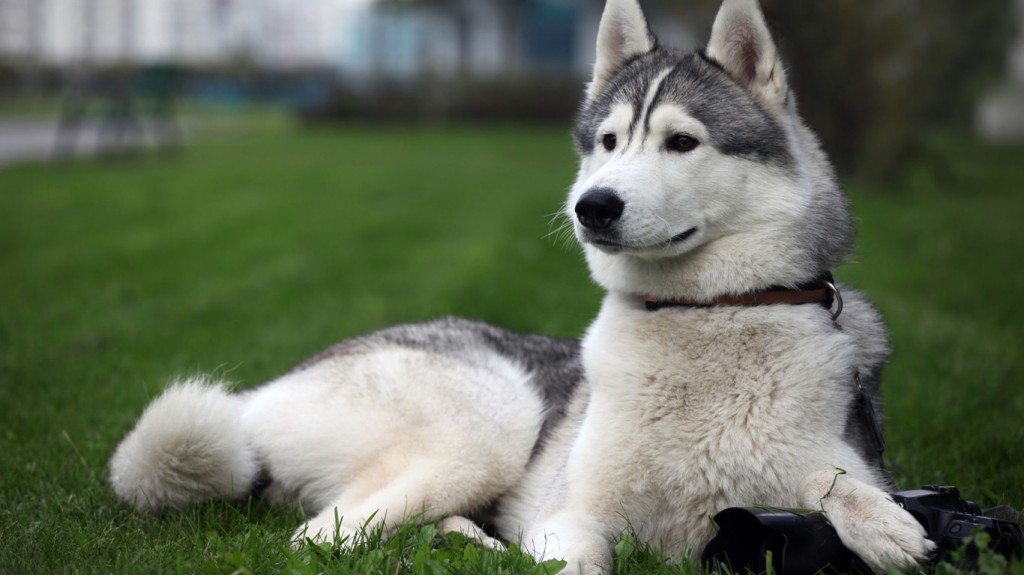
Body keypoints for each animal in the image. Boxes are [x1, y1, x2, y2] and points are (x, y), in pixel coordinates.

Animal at [110, 1, 937, 568]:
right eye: (608, 141)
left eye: (682, 141)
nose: (592, 205)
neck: (703, 313)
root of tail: (264, 392)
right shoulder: (571, 517)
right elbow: (578, 558)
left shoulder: (831, 460)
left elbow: (836, 477)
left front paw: (880, 521)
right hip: (493, 420)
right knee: (320, 536)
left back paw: (464, 540)